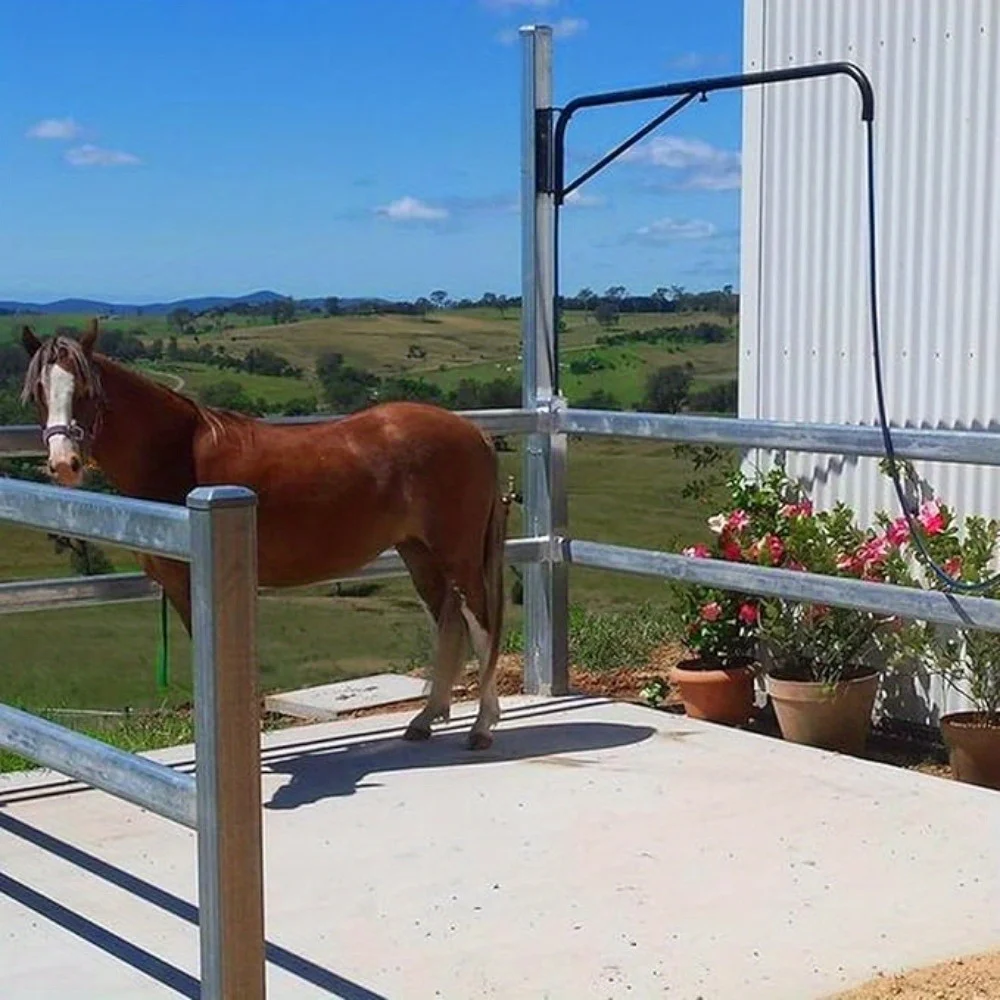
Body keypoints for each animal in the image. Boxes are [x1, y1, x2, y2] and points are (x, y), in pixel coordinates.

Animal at [20, 320, 513, 750]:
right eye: (40, 392)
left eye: (86, 391)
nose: (64, 464)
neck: (176, 452)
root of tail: (473, 431)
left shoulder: (191, 585)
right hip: (418, 553)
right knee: (447, 622)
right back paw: (425, 719)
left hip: (459, 554)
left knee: (479, 624)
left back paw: (482, 727)